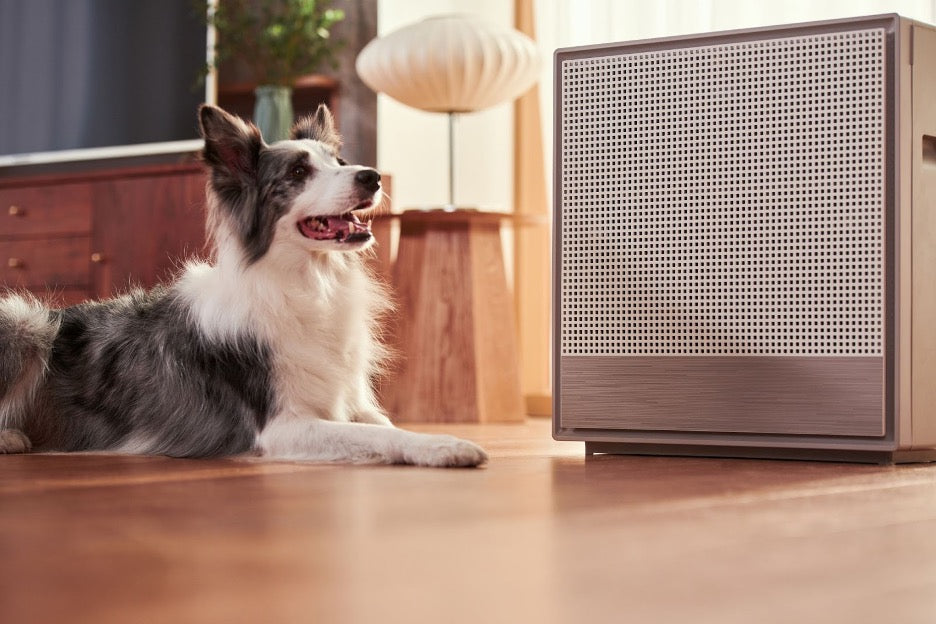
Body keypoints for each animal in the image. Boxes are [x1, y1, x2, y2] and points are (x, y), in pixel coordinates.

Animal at [0, 105, 494, 466]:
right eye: (297, 173)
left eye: (339, 162)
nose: (370, 175)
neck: (306, 282)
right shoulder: (280, 426)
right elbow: (377, 437)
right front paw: (445, 446)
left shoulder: (351, 399)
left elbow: (385, 426)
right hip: (28, 320)